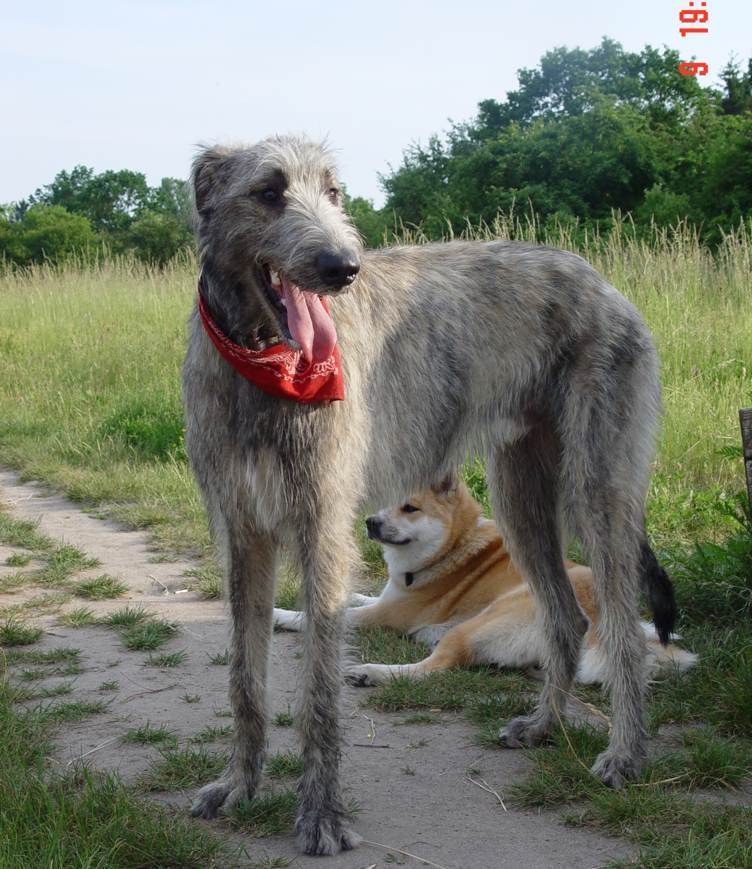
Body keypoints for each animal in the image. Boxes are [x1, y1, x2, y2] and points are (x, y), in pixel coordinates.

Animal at [274, 474, 696, 684]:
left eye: (410, 508)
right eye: (383, 504)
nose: (370, 523)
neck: (452, 546)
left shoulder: (387, 615)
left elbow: (322, 614)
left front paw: (282, 614)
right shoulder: (386, 598)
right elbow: (355, 597)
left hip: (485, 619)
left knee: (432, 669)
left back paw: (372, 672)